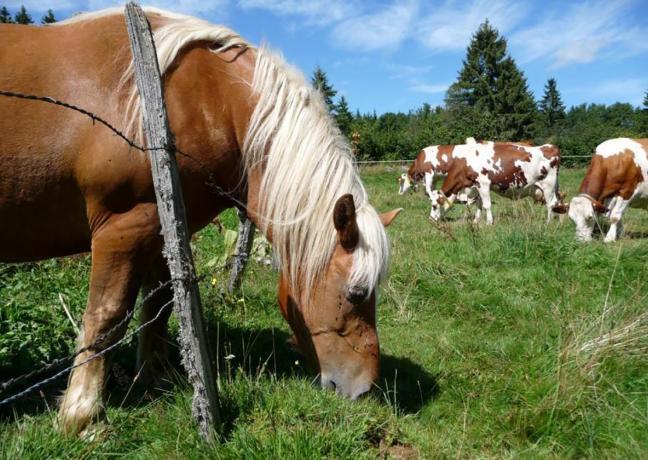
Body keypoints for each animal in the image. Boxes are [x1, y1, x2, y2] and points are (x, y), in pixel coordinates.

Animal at [0, 9, 400, 436]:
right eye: (356, 293)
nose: (364, 389)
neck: (206, 99)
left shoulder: (159, 229)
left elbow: (158, 304)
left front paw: (154, 378)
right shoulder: (121, 228)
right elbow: (106, 316)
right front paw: (82, 415)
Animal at [430, 139, 568, 224]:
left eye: (434, 206)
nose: (430, 219)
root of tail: (549, 146)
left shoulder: (483, 183)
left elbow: (487, 205)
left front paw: (489, 223)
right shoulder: (476, 186)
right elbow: (479, 204)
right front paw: (476, 221)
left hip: (548, 185)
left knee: (550, 203)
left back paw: (548, 223)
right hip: (552, 186)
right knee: (558, 200)